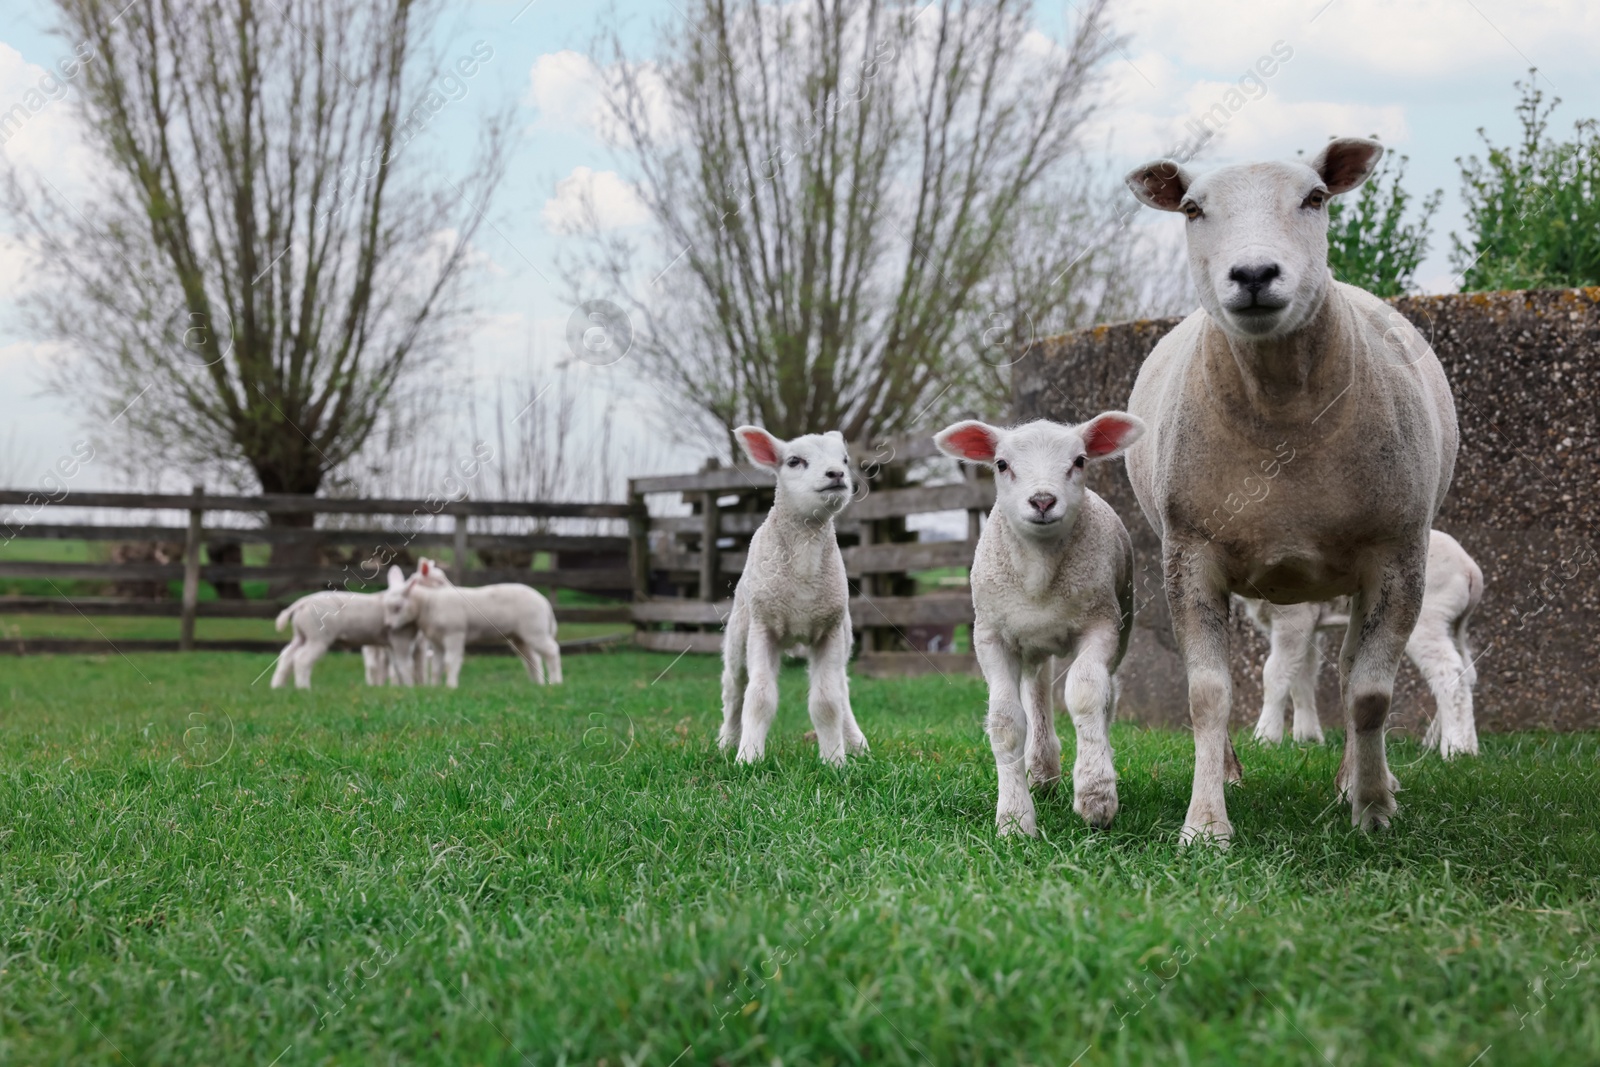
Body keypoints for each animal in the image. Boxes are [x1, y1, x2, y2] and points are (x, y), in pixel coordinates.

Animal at [382, 556, 563, 687]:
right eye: (438, 581)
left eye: (397, 608)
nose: (388, 627)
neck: (429, 602)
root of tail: (545, 603)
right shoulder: (437, 641)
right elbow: (436, 666)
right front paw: (434, 687)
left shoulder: (455, 634)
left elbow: (451, 662)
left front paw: (451, 687)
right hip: (520, 637)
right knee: (532, 659)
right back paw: (537, 684)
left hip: (534, 630)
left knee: (552, 651)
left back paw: (556, 682)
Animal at [723, 425, 870, 767]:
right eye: (794, 461)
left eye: (844, 459)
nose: (836, 473)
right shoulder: (763, 627)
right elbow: (758, 697)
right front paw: (748, 758)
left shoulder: (829, 630)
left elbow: (827, 702)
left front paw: (835, 762)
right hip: (738, 635)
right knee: (734, 690)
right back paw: (726, 741)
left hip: (844, 638)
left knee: (842, 689)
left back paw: (856, 743)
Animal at [934, 412, 1145, 838]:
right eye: (1001, 464)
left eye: (1080, 460)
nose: (1043, 501)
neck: (1039, 570)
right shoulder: (991, 636)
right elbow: (1005, 720)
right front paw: (1014, 820)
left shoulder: (1101, 625)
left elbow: (1086, 693)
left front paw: (1096, 795)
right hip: (1031, 641)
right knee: (1037, 689)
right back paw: (1043, 770)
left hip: (1124, 620)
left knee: (1106, 692)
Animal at [1241, 527, 1478, 758]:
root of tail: (1470, 568)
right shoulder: (1308, 625)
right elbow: (1302, 679)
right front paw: (1308, 738)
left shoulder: (1294, 617)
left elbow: (1275, 675)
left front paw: (1264, 739)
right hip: (1455, 623)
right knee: (1467, 673)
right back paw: (1437, 742)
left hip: (1429, 617)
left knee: (1448, 671)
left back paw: (1459, 748)